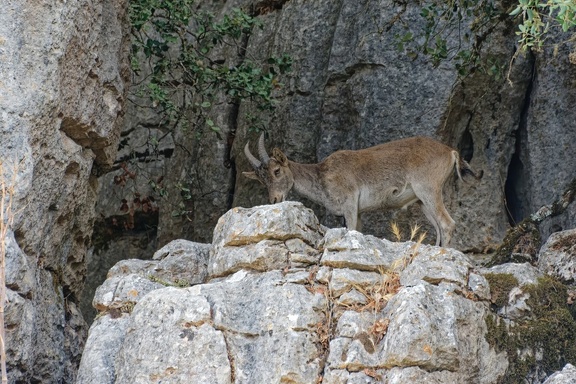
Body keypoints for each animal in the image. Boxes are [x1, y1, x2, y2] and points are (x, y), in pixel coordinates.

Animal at [243, 134, 482, 246]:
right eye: (262, 180)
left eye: (276, 171)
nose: (275, 199)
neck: (322, 176)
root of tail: (451, 152)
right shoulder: (357, 212)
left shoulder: (350, 203)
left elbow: (352, 230)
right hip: (422, 200)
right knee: (439, 226)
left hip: (428, 189)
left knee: (447, 224)